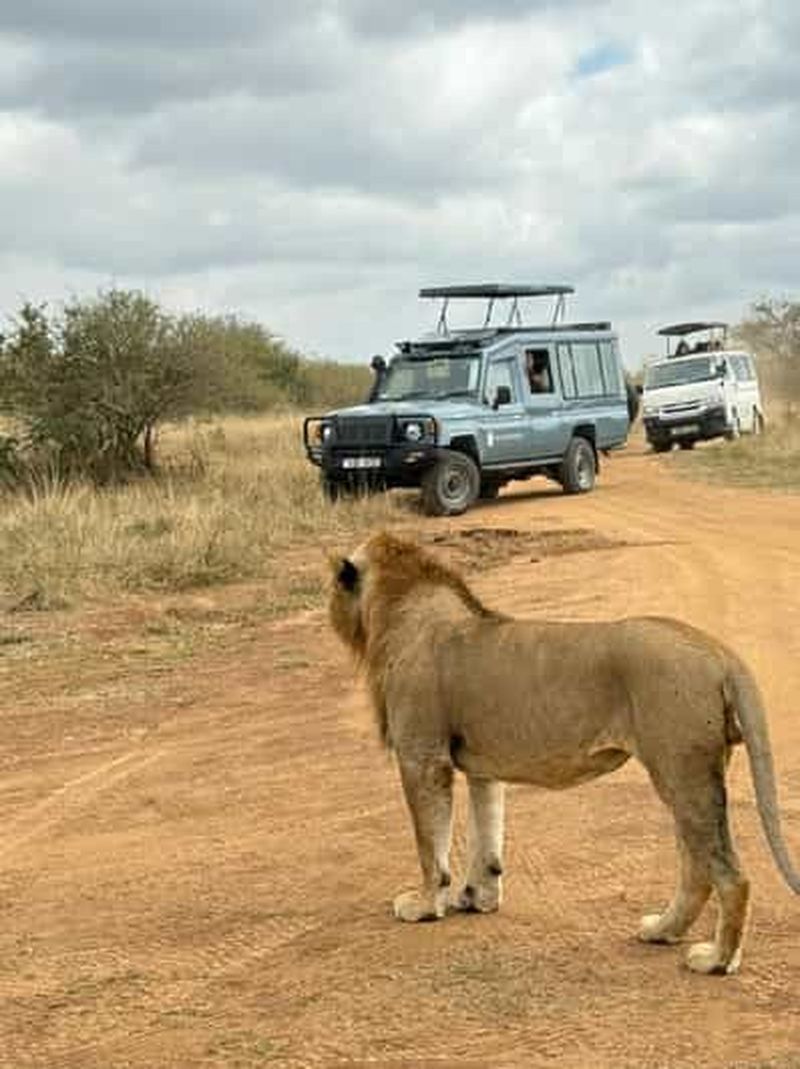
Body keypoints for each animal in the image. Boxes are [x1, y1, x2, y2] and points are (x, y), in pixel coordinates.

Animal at [328, 531, 800, 975]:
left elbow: (431, 845)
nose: (331, 606)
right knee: (697, 865)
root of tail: (718, 650)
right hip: (691, 771)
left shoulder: (422, 757)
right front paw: (477, 897)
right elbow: (487, 836)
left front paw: (426, 904)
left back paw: (717, 960)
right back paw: (663, 931)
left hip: (681, 770)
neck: (400, 611)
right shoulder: (482, 767)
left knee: (730, 874)